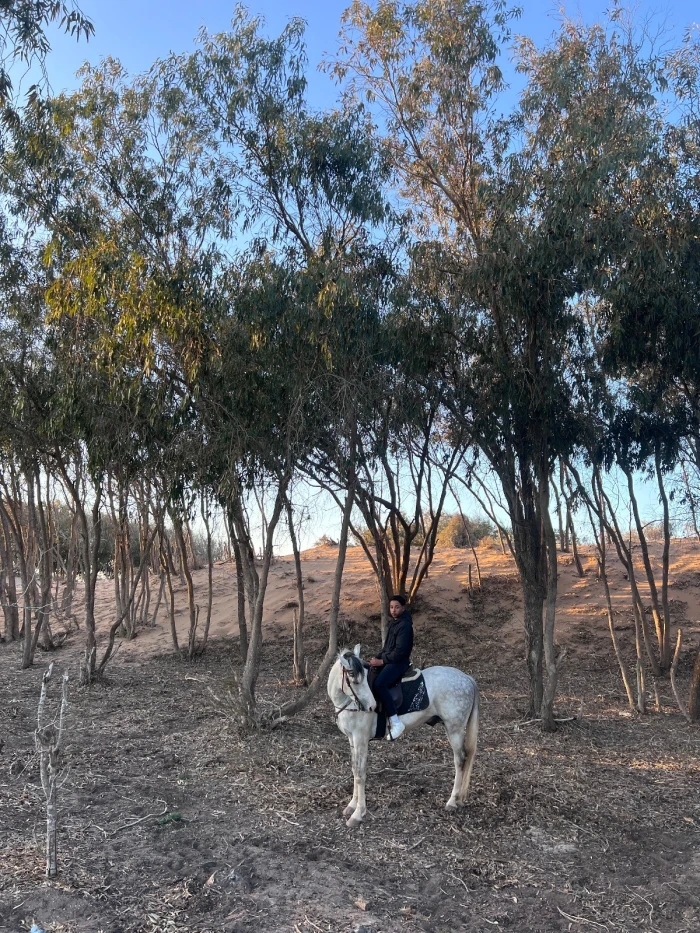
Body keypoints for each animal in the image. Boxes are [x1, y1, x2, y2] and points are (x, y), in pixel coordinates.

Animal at [326, 644, 478, 828]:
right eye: (353, 678)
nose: (371, 706)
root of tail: (467, 678)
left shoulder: (361, 739)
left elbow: (361, 774)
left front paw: (358, 813)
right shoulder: (352, 739)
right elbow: (355, 769)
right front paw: (352, 805)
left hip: (454, 729)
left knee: (460, 760)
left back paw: (452, 800)